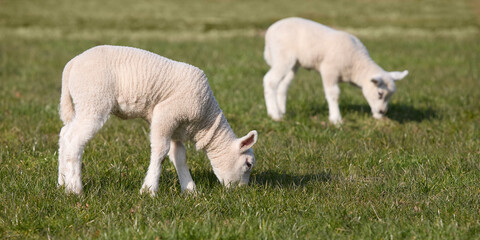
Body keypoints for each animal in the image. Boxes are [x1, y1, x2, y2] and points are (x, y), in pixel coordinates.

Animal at [58, 44, 258, 195]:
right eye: (248, 164)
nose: (243, 192)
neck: (206, 120)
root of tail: (72, 63)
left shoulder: (176, 126)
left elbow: (179, 156)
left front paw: (190, 190)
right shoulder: (166, 113)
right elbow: (161, 152)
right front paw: (149, 190)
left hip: (83, 103)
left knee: (64, 134)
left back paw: (62, 182)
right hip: (94, 100)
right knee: (74, 140)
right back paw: (75, 189)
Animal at [262, 17, 408, 124]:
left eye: (391, 95)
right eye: (380, 93)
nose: (383, 112)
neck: (357, 65)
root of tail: (270, 31)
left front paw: (378, 117)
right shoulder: (329, 70)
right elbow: (334, 94)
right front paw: (336, 119)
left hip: (294, 63)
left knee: (283, 85)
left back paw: (281, 111)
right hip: (283, 57)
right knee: (270, 81)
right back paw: (274, 114)